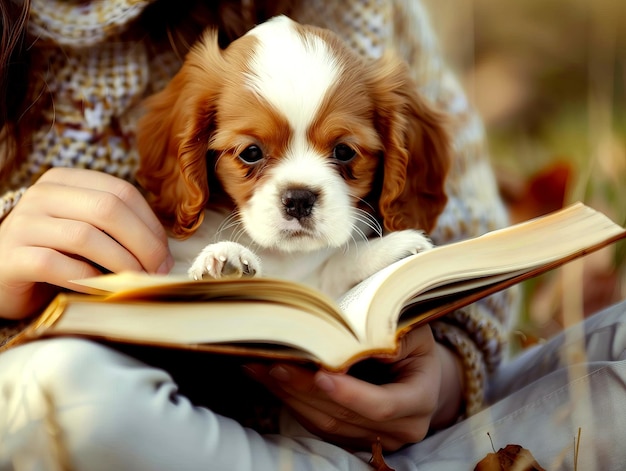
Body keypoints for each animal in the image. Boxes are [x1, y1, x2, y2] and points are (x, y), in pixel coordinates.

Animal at [136, 16, 448, 300]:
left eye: (344, 151)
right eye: (251, 153)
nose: (299, 199)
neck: (284, 256)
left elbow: (333, 270)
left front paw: (388, 252)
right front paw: (226, 262)